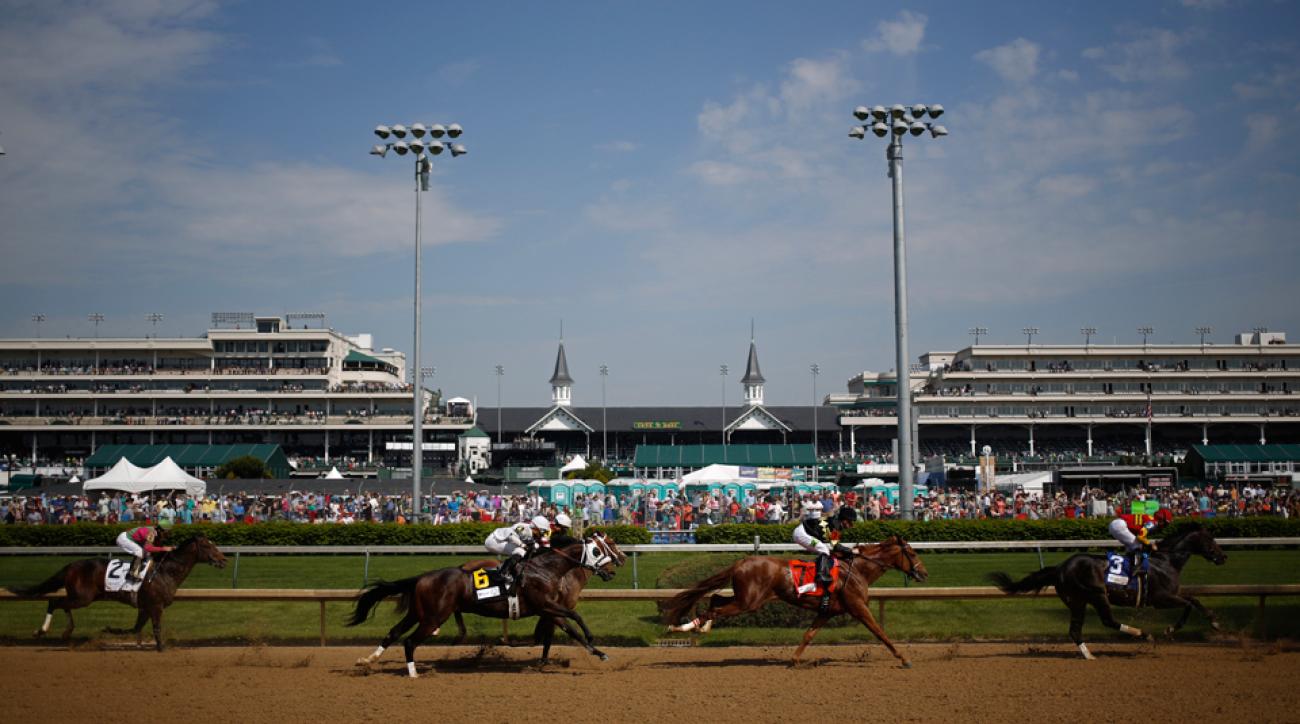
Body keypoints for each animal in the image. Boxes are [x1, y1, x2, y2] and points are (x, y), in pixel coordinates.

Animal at [6, 532, 228, 652]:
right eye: (207, 545)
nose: (224, 559)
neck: (165, 571)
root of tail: (71, 565)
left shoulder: (145, 607)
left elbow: (134, 628)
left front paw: (110, 630)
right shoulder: (156, 606)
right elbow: (155, 628)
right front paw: (160, 647)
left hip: (80, 597)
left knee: (61, 605)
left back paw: (66, 632)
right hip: (82, 597)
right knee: (55, 603)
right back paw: (42, 631)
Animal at [351, 530, 624, 675]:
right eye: (602, 549)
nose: (616, 565)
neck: (546, 569)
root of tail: (422, 577)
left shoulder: (549, 610)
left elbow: (569, 629)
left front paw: (599, 653)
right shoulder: (546, 605)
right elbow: (575, 619)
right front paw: (592, 641)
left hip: (419, 613)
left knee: (393, 633)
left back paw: (367, 660)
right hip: (433, 617)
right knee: (409, 641)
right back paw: (413, 673)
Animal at [665, 535, 930, 665]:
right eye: (912, 552)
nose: (924, 573)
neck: (857, 570)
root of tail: (741, 561)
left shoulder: (826, 611)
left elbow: (809, 635)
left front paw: (793, 660)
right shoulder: (858, 608)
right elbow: (880, 633)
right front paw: (904, 659)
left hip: (745, 598)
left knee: (715, 599)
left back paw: (698, 626)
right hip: (749, 601)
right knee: (715, 609)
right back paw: (684, 627)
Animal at [987, 522, 1222, 657]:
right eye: (1210, 539)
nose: (1223, 556)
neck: (1166, 560)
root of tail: (1061, 567)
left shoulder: (1170, 595)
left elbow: (1193, 599)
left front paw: (1212, 622)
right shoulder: (1161, 598)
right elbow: (1190, 603)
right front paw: (1174, 628)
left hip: (1078, 601)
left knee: (1075, 630)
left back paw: (1089, 654)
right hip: (1097, 594)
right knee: (1108, 620)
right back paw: (1143, 634)